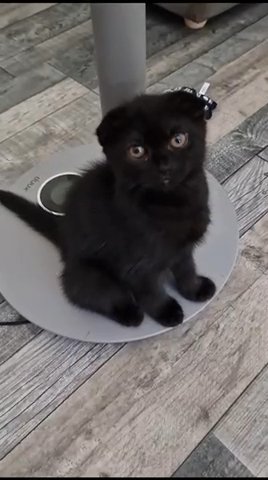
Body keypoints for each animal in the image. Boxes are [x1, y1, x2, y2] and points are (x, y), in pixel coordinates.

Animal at [0, 91, 216, 326]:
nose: (164, 165)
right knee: (82, 292)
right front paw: (165, 311)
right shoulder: (136, 265)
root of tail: (65, 244)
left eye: (178, 139)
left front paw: (194, 289)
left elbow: (187, 269)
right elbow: (151, 291)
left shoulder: (183, 248)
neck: (171, 204)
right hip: (93, 274)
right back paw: (129, 313)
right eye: (136, 151)